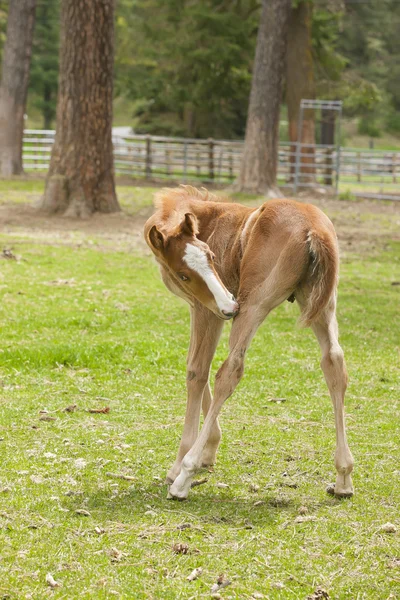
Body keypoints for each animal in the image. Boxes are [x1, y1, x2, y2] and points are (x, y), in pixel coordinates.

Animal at [143, 185, 354, 500]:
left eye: (212, 256)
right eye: (184, 274)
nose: (230, 305)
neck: (208, 219)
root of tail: (314, 228)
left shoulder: (206, 310)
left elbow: (197, 371)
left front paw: (182, 463)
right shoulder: (210, 310)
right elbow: (198, 366)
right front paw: (208, 451)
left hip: (252, 305)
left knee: (230, 371)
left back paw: (184, 479)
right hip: (320, 304)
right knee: (334, 362)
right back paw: (343, 477)